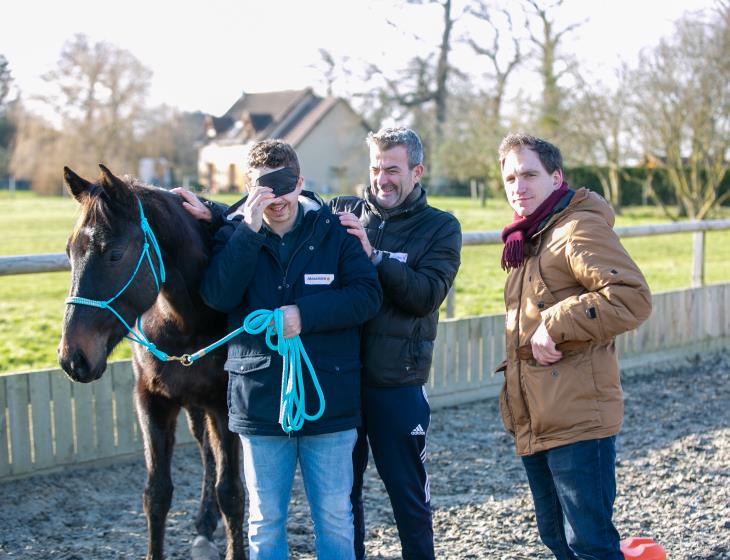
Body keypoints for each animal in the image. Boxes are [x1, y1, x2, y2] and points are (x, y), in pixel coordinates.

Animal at [57, 164, 245, 556]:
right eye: (69, 252)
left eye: (114, 253)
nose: (72, 357)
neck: (187, 321)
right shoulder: (153, 401)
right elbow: (157, 495)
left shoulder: (225, 406)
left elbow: (232, 493)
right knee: (206, 451)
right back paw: (204, 525)